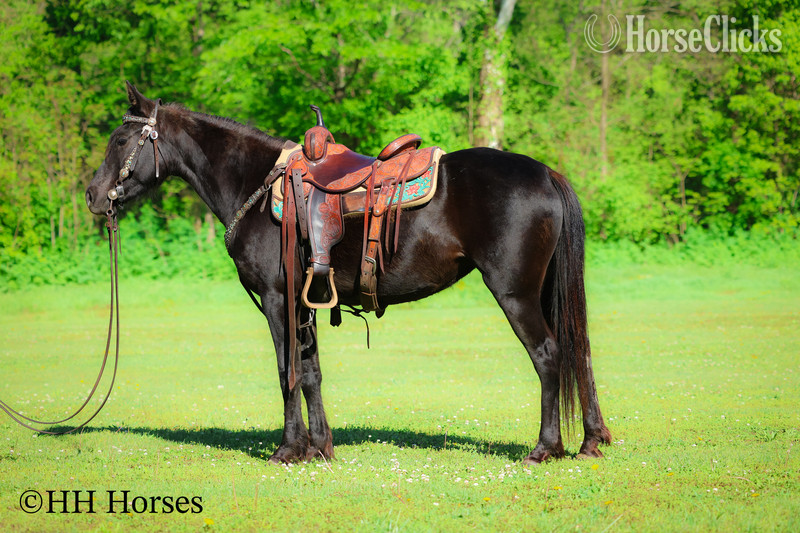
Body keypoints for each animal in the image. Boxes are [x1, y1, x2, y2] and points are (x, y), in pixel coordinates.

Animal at [85, 82, 611, 464]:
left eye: (120, 140)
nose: (92, 195)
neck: (256, 185)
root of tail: (546, 173)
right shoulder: (306, 302)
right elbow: (311, 371)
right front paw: (319, 447)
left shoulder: (278, 299)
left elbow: (288, 371)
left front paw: (288, 450)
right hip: (543, 292)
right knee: (578, 350)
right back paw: (590, 441)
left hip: (515, 292)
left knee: (548, 355)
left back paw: (545, 448)